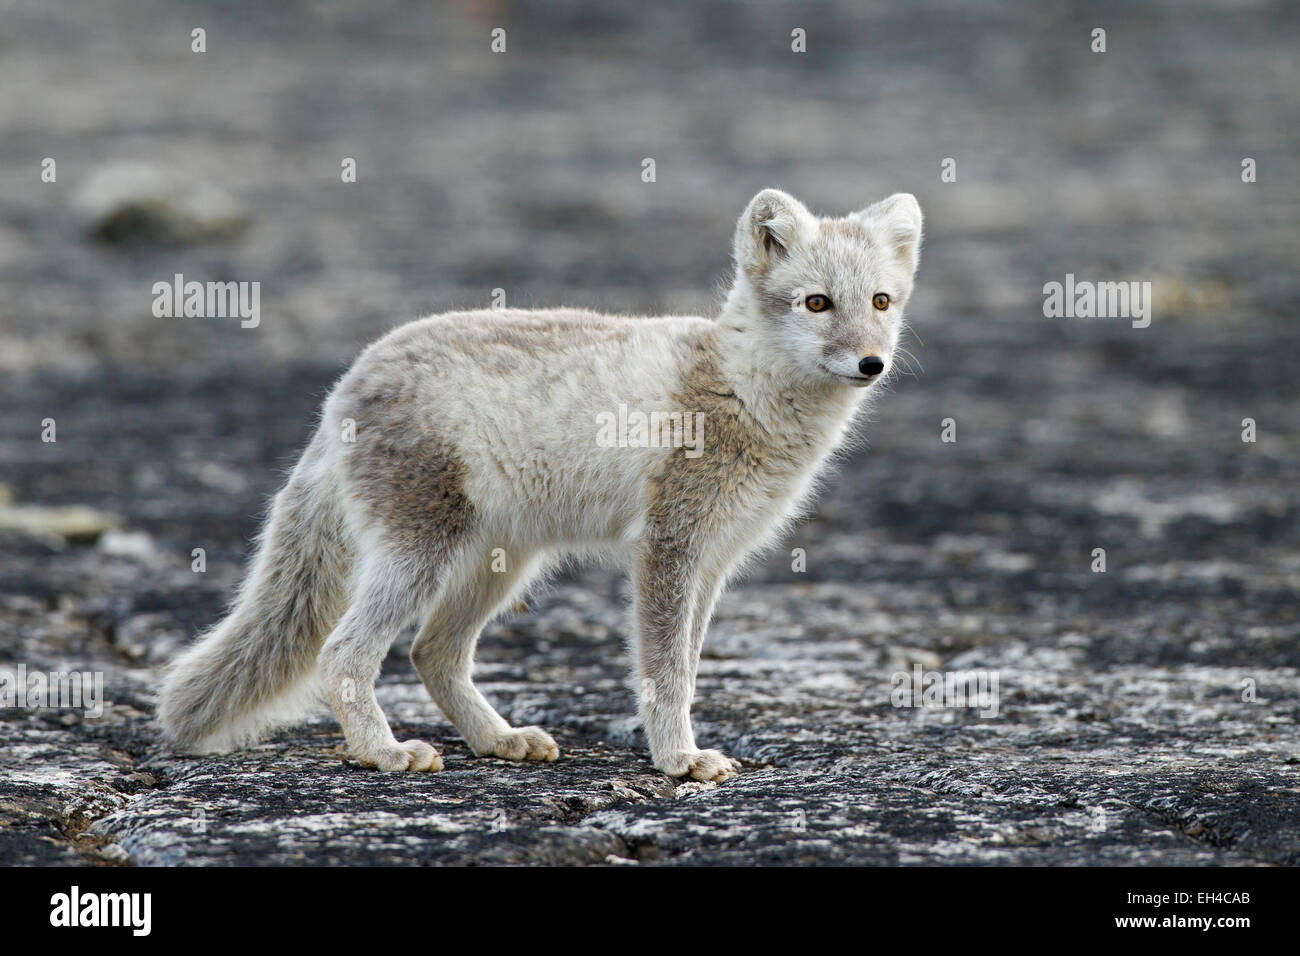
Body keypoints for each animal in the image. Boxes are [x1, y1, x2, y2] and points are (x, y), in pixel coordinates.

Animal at [157, 188, 920, 785]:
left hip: (504, 562)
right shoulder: (668, 549)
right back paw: (384, 752)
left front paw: (680, 751)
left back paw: (498, 740)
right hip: (420, 552)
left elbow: (688, 666)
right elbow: (665, 674)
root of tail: (344, 385)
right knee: (345, 653)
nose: (871, 364)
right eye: (816, 303)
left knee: (431, 653)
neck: (741, 385)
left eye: (881, 301)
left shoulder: (712, 562)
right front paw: (678, 760)